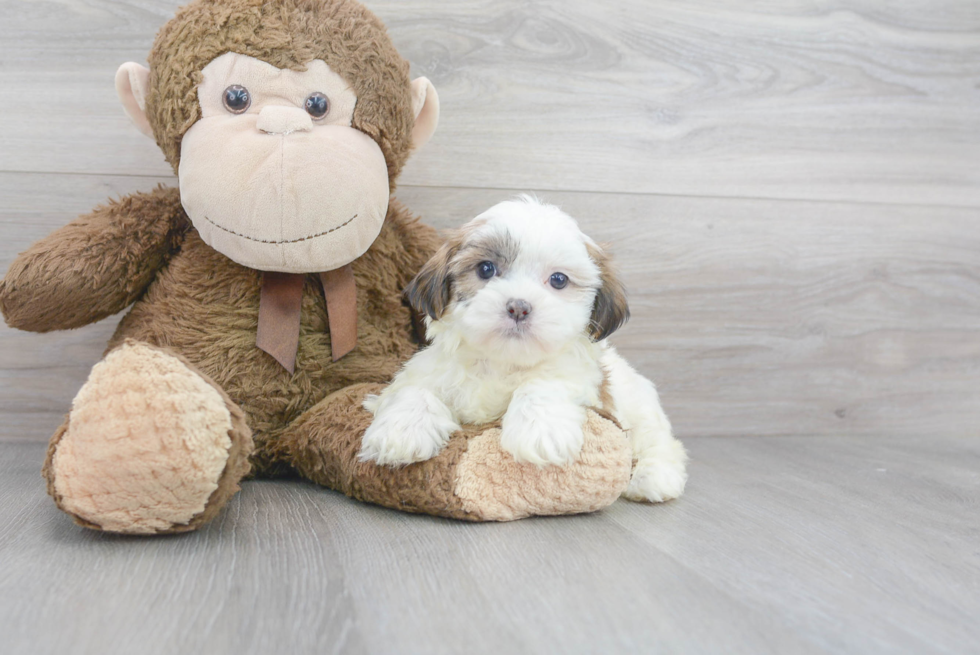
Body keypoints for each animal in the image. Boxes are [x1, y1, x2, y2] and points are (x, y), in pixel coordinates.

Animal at [356, 195, 684, 502]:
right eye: (486, 269)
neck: (500, 362)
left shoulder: (587, 386)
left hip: (642, 409)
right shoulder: (424, 372)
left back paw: (653, 477)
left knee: (660, 442)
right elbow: (413, 390)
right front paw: (402, 431)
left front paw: (541, 430)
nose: (518, 307)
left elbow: (544, 384)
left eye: (558, 280)